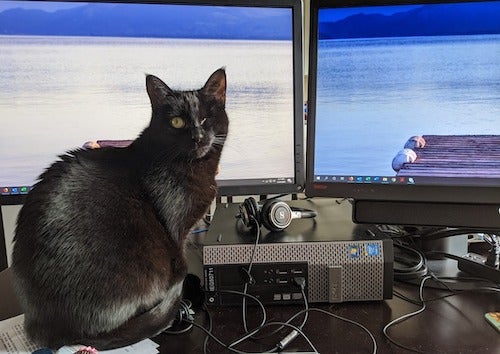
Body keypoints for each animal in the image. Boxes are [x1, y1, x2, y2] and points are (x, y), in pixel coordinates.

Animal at [10, 68, 229, 348]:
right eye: (177, 122)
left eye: (205, 118)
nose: (198, 137)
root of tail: (50, 330)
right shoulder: (176, 230)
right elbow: (180, 256)